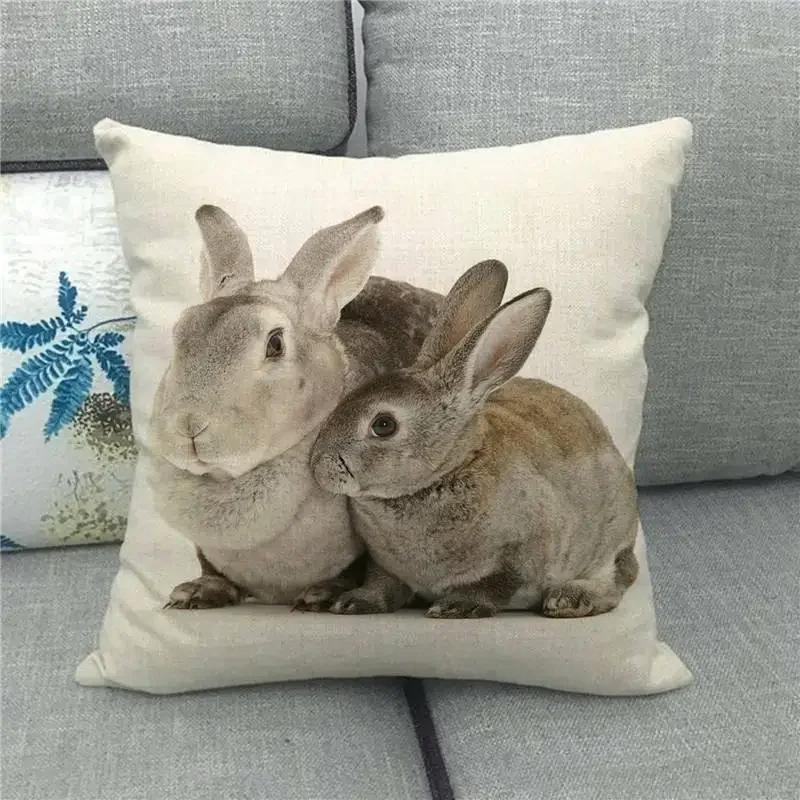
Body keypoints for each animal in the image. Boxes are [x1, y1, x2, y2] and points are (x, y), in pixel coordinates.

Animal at [310, 260, 640, 619]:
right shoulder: (383, 566)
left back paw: (572, 598)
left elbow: (494, 586)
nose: (317, 466)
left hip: (610, 539)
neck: (447, 472)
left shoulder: (524, 553)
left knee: (620, 576)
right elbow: (380, 584)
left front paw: (457, 606)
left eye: (383, 425)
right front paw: (355, 601)